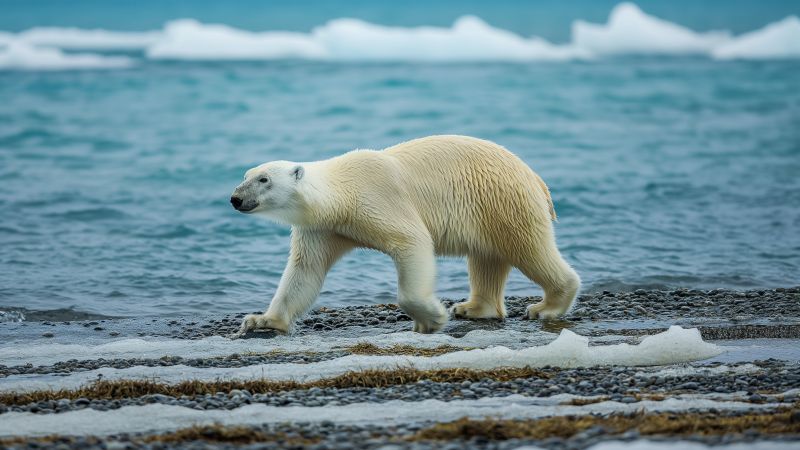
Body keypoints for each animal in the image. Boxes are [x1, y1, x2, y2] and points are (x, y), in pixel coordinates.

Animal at [229, 135, 580, 336]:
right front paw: (261, 320)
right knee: (487, 258)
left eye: (263, 179)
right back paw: (473, 308)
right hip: (488, 209)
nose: (235, 198)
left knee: (529, 248)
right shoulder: (323, 228)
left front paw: (431, 318)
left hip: (502, 198)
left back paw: (546, 307)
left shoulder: (376, 200)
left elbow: (412, 242)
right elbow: (304, 271)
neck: (341, 195)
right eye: (246, 175)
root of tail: (534, 176)